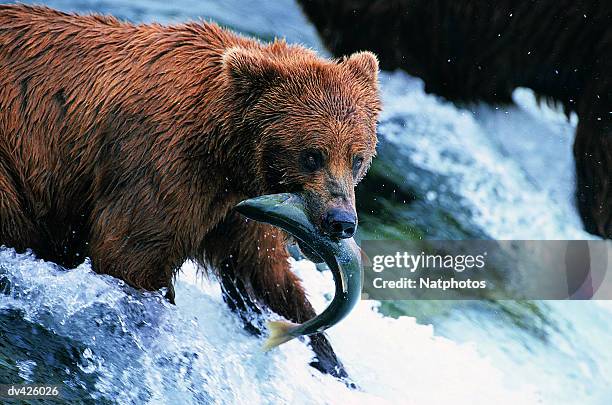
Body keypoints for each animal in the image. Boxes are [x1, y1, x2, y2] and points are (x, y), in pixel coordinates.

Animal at [0, 4, 380, 378]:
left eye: (357, 158)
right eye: (312, 155)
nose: (341, 221)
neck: (224, 149)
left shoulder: (236, 207)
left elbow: (261, 274)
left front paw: (331, 361)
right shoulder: (162, 165)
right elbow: (130, 258)